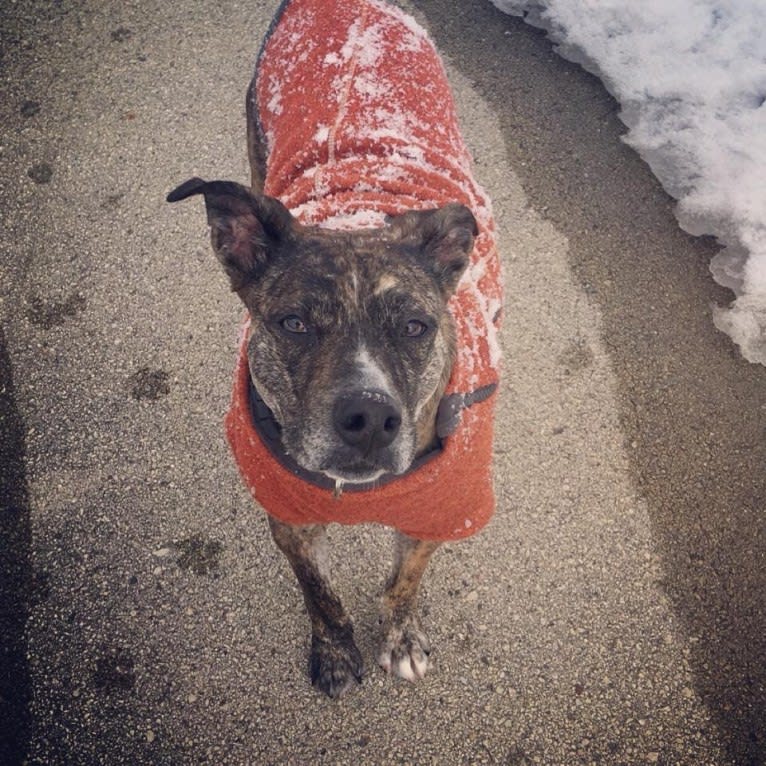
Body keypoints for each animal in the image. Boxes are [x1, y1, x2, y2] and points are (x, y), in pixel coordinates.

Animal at [169, 0, 504, 700]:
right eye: (293, 323)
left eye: (415, 327)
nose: (369, 418)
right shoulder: (288, 514)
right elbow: (318, 592)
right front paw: (335, 653)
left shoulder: (439, 511)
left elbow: (403, 584)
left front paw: (400, 640)